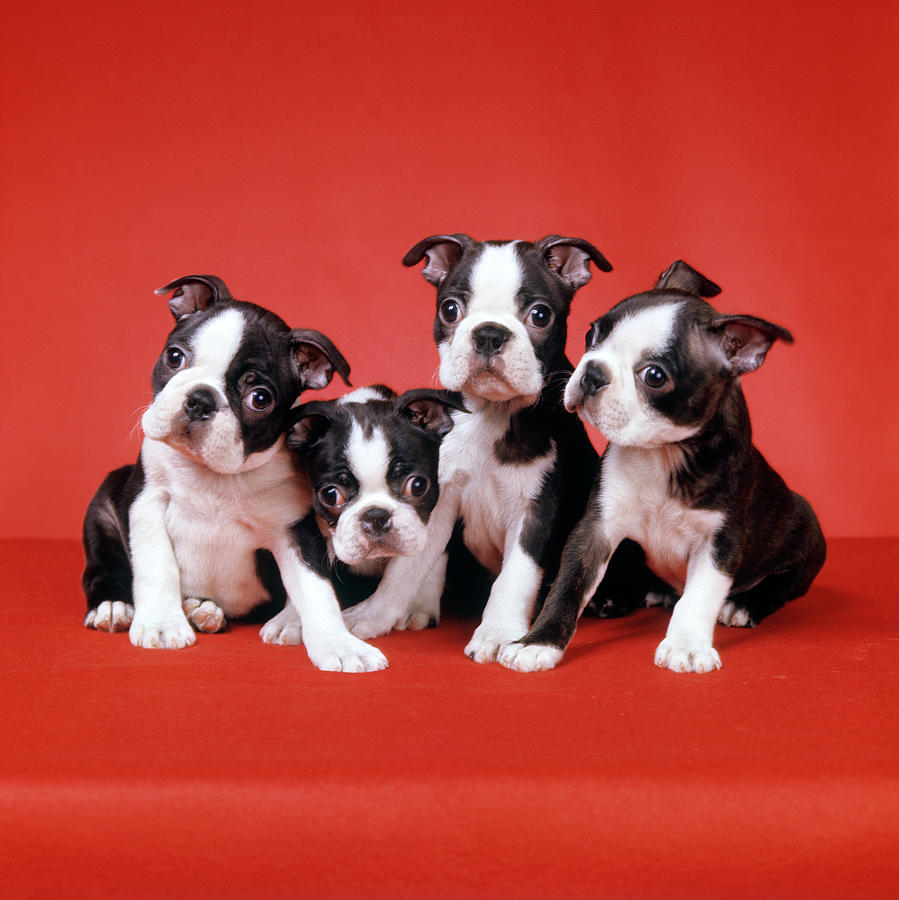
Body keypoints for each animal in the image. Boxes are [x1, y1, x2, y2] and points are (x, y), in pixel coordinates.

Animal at [84, 278, 390, 672]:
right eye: (174, 357)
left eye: (259, 398)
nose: (200, 399)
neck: (214, 474)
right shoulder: (147, 502)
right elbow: (157, 566)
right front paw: (161, 624)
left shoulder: (295, 530)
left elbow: (316, 590)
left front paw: (339, 644)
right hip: (104, 508)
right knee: (101, 567)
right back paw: (114, 605)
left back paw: (204, 611)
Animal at [256, 384, 468, 644]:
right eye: (330, 495)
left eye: (418, 485)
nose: (376, 516)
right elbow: (311, 573)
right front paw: (291, 616)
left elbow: (424, 562)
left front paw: (418, 604)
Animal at [502, 256, 828, 672]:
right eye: (592, 335)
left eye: (654, 376)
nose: (592, 374)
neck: (663, 452)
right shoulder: (596, 528)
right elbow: (567, 586)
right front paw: (537, 643)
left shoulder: (719, 543)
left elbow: (700, 596)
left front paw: (686, 644)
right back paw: (616, 598)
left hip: (807, 534)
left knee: (779, 589)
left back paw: (743, 605)